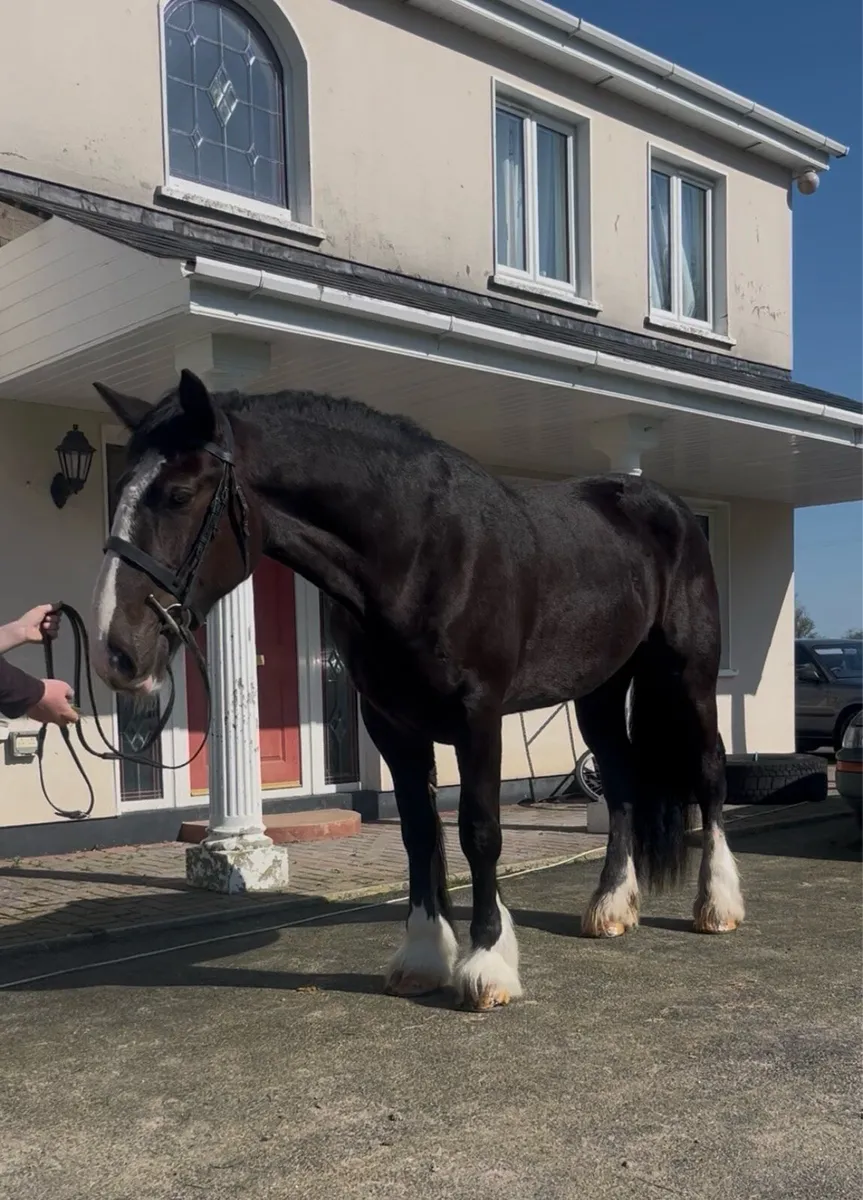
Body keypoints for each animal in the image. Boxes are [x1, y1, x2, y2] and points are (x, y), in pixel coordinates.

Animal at [90, 369, 745, 1011]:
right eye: (116, 490)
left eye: (178, 494)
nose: (115, 651)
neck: (418, 553)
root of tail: (667, 505)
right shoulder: (392, 724)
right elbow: (417, 831)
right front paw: (424, 957)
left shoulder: (479, 717)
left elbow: (479, 831)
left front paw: (486, 963)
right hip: (601, 691)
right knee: (621, 780)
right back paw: (610, 908)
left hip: (690, 675)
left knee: (710, 770)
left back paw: (716, 905)